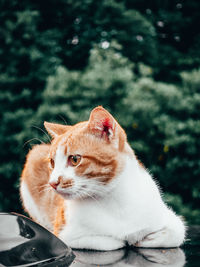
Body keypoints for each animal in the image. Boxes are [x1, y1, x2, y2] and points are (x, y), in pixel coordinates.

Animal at [20, 106, 186, 251]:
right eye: (52, 163)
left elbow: (176, 233)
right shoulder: (65, 235)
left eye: (75, 159)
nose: (52, 183)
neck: (113, 200)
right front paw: (123, 240)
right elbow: (109, 241)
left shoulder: (172, 221)